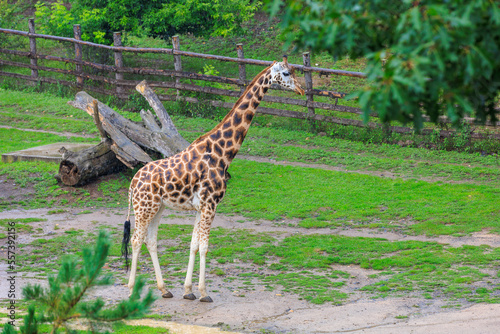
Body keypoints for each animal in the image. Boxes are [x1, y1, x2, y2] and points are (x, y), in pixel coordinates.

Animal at [122, 55, 304, 302]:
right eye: (286, 73)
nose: (302, 89)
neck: (222, 153)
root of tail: (132, 183)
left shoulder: (201, 206)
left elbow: (194, 245)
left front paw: (188, 291)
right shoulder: (210, 204)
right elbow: (205, 246)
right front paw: (204, 292)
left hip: (158, 207)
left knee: (150, 240)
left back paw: (164, 289)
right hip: (144, 208)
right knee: (136, 240)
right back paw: (131, 291)